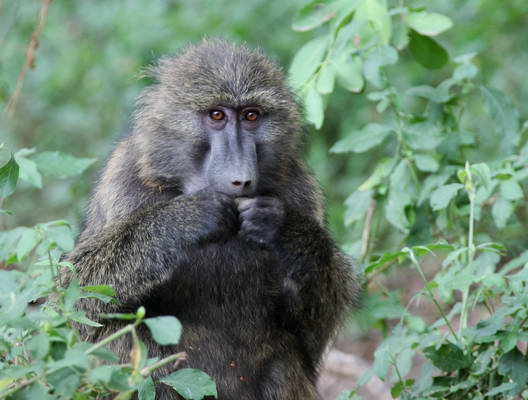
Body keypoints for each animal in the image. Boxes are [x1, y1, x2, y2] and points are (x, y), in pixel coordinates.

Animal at [67, 39, 359, 400]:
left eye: (251, 116)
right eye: (216, 115)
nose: (240, 180)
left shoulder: (301, 189)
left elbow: (314, 330)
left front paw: (283, 228)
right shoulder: (124, 182)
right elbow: (77, 300)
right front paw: (188, 218)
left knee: (284, 360)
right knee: (125, 335)